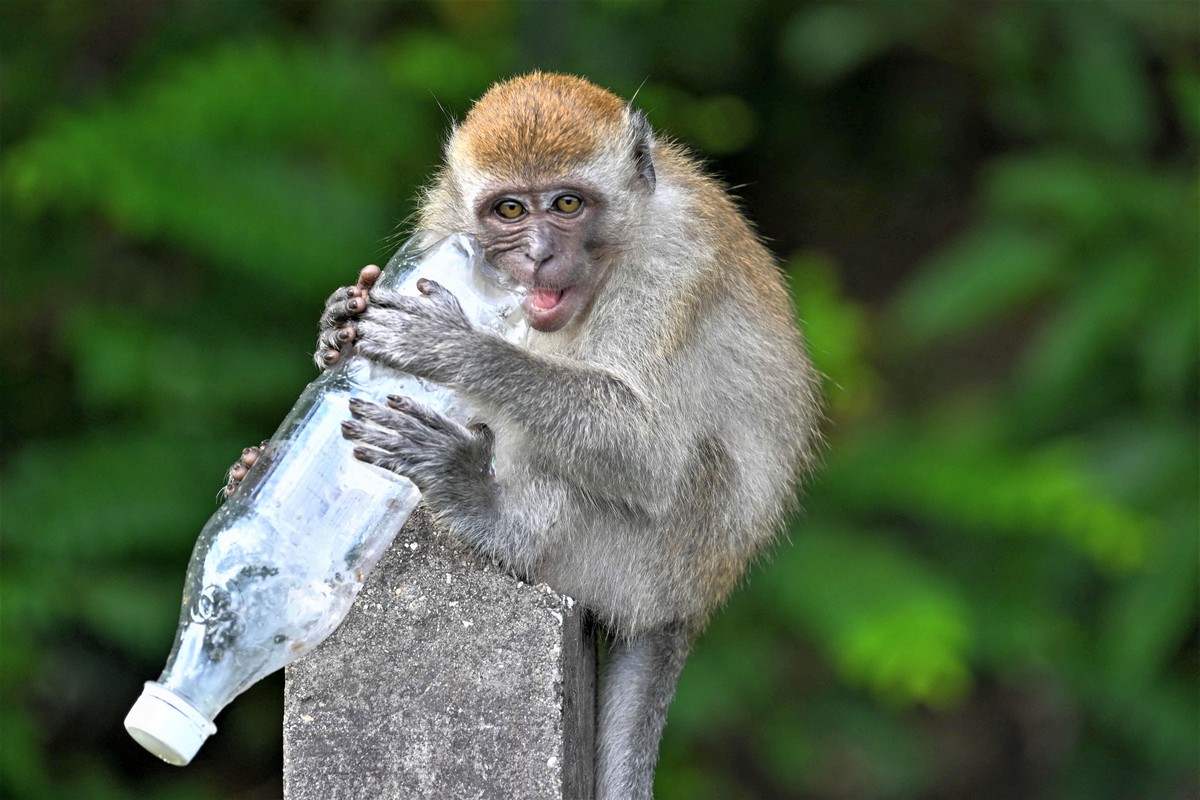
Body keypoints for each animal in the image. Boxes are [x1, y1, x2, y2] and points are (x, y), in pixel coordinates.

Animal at [228, 71, 820, 796]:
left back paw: (487, 513)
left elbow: (651, 456)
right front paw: (341, 320)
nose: (539, 255)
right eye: (509, 211)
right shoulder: (444, 221)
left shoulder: (674, 264)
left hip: (651, 561)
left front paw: (455, 347)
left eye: (567, 204)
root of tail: (692, 602)